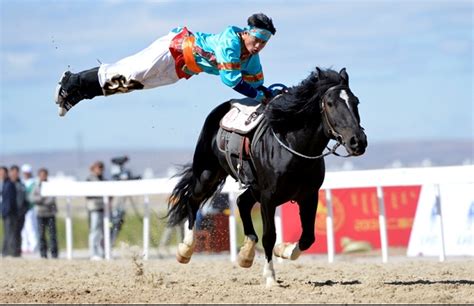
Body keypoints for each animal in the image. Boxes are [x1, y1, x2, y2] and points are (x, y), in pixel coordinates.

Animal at [168, 67, 368, 286]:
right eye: (330, 103)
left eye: (356, 101)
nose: (358, 141)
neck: (294, 148)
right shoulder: (268, 198)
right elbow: (269, 236)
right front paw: (270, 277)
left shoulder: (309, 196)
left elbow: (308, 237)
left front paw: (284, 250)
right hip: (207, 174)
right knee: (192, 199)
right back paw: (185, 249)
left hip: (252, 187)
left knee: (242, 202)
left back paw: (246, 254)